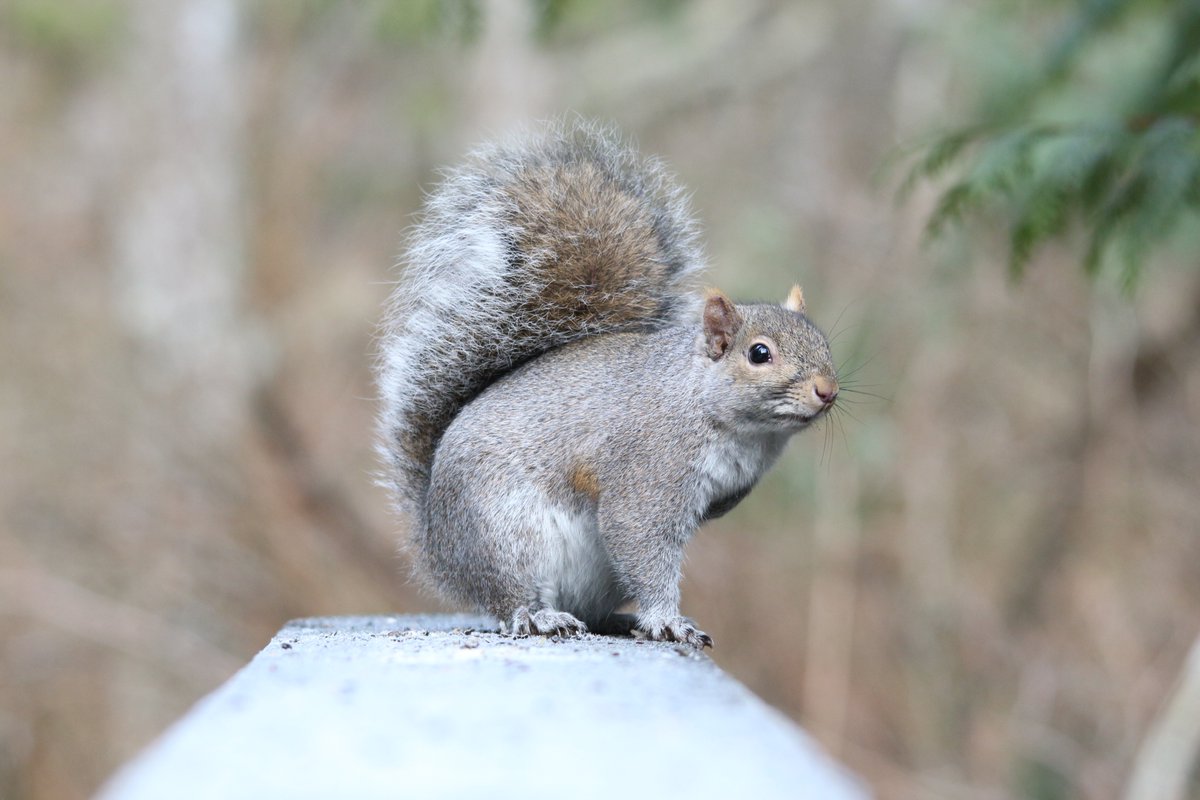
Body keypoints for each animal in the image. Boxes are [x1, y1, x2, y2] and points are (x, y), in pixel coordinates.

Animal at [376, 120, 838, 648]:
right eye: (759, 354)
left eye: (823, 341)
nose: (827, 390)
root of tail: (439, 549)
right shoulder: (650, 469)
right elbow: (638, 533)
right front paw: (668, 619)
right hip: (504, 536)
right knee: (508, 599)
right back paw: (538, 617)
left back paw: (613, 620)